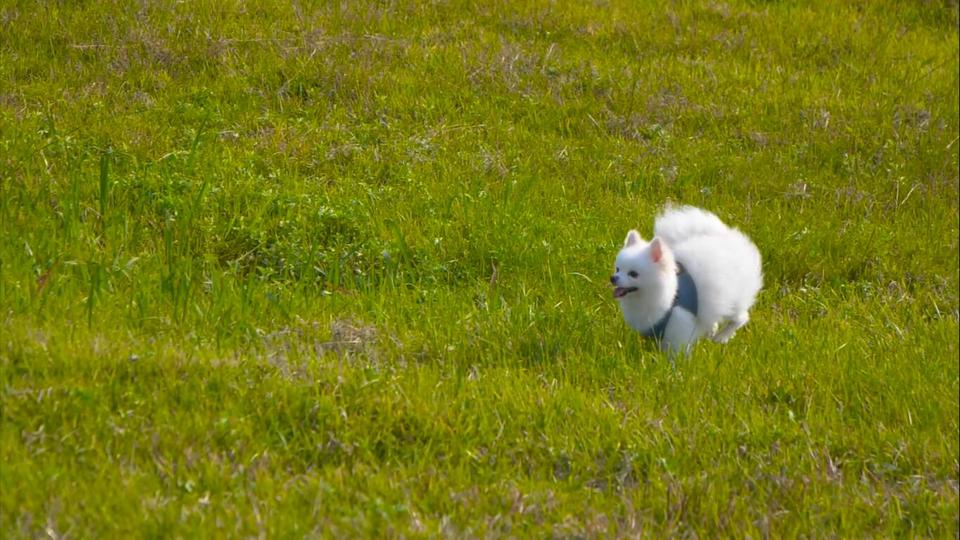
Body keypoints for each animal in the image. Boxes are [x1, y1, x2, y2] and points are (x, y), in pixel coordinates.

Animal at [612, 204, 760, 354]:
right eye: (617, 269)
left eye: (633, 274)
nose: (613, 278)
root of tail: (726, 236)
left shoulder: (679, 326)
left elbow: (677, 352)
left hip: (734, 301)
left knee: (741, 318)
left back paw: (722, 336)